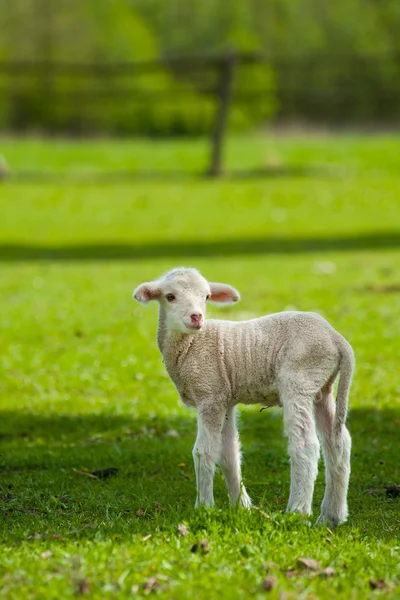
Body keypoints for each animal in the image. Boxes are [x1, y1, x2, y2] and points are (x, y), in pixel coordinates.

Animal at [133, 268, 354, 524]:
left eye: (206, 297)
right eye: (170, 296)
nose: (197, 317)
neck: (192, 345)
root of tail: (337, 339)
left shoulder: (209, 395)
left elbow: (203, 451)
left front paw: (204, 508)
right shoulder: (224, 398)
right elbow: (229, 454)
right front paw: (241, 507)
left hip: (298, 378)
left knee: (306, 444)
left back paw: (296, 512)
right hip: (321, 387)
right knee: (337, 442)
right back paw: (332, 516)